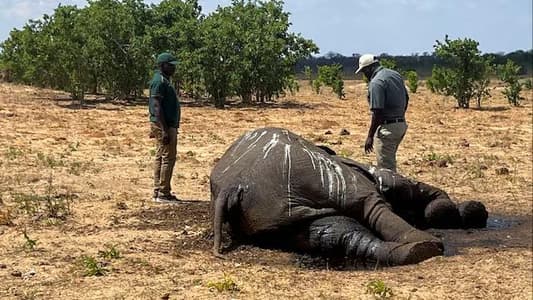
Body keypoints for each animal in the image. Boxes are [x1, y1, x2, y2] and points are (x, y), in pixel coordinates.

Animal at [210, 127, 488, 266]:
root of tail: (233, 186)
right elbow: (407, 187)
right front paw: (460, 212)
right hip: (316, 176)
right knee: (371, 205)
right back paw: (425, 245)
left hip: (274, 214)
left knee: (336, 234)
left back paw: (413, 251)